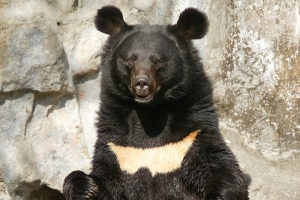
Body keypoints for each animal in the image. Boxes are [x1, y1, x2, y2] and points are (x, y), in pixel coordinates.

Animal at [62, 5, 250, 200]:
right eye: (129, 61)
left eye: (157, 62)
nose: (141, 83)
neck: (150, 112)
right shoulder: (118, 148)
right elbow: (105, 179)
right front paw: (86, 187)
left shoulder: (193, 137)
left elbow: (224, 171)